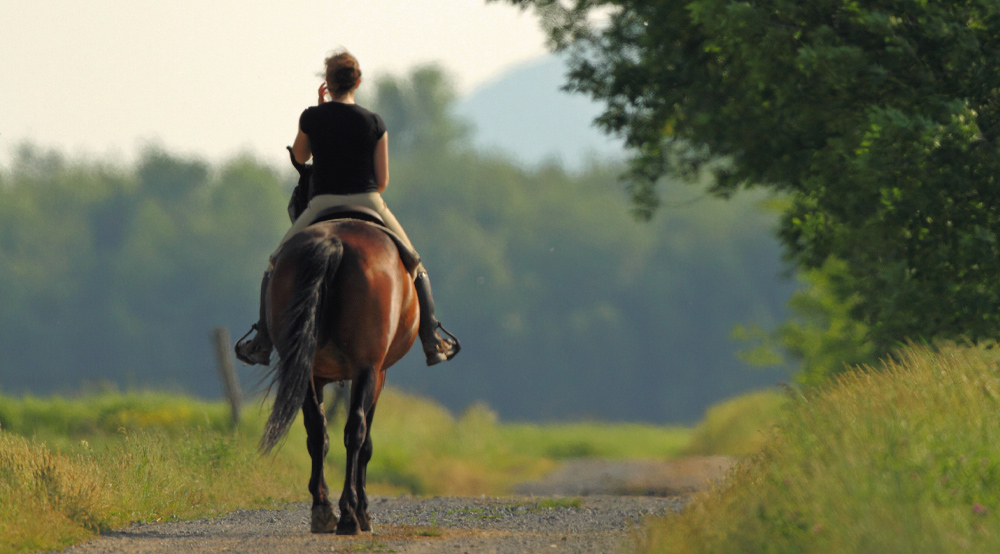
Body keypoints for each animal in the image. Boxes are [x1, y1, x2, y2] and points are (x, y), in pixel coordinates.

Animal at [258, 218, 419, 535]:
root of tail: (335, 243)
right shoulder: (377, 373)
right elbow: (365, 442)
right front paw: (364, 512)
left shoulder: (317, 376)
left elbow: (318, 433)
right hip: (367, 368)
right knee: (355, 431)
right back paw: (349, 515)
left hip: (304, 366)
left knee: (317, 431)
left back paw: (323, 508)